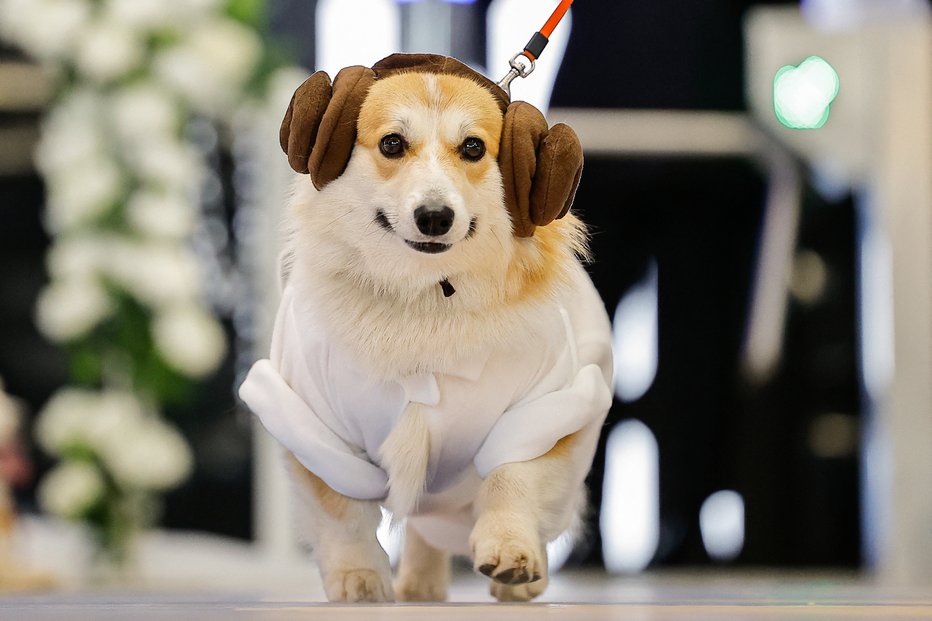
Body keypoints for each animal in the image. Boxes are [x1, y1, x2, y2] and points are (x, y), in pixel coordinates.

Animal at [242, 55, 612, 604]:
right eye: (393, 144)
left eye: (474, 147)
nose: (435, 217)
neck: (425, 294)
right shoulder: (313, 424)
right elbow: (341, 514)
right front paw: (359, 580)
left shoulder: (548, 407)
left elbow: (513, 479)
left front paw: (512, 552)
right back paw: (418, 584)